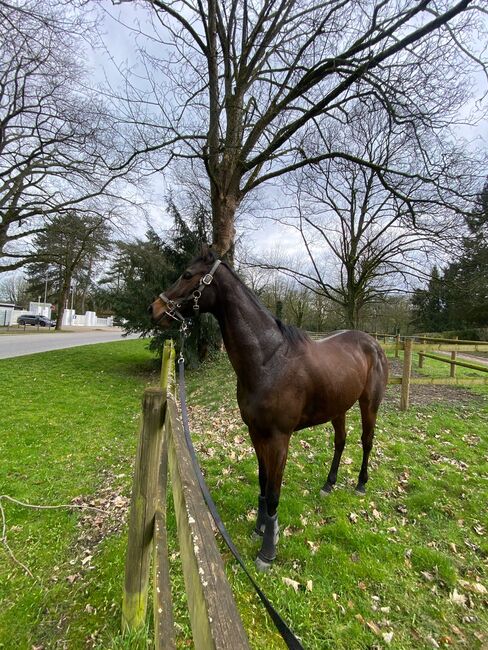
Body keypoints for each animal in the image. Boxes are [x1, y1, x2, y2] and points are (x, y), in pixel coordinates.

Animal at [149, 246, 388, 568]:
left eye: (187, 274)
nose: (154, 309)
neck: (268, 360)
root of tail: (373, 343)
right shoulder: (255, 432)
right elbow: (263, 483)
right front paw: (259, 528)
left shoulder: (278, 439)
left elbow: (274, 492)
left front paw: (267, 550)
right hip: (338, 408)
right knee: (340, 442)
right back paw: (328, 485)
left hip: (369, 404)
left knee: (366, 441)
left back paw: (361, 484)